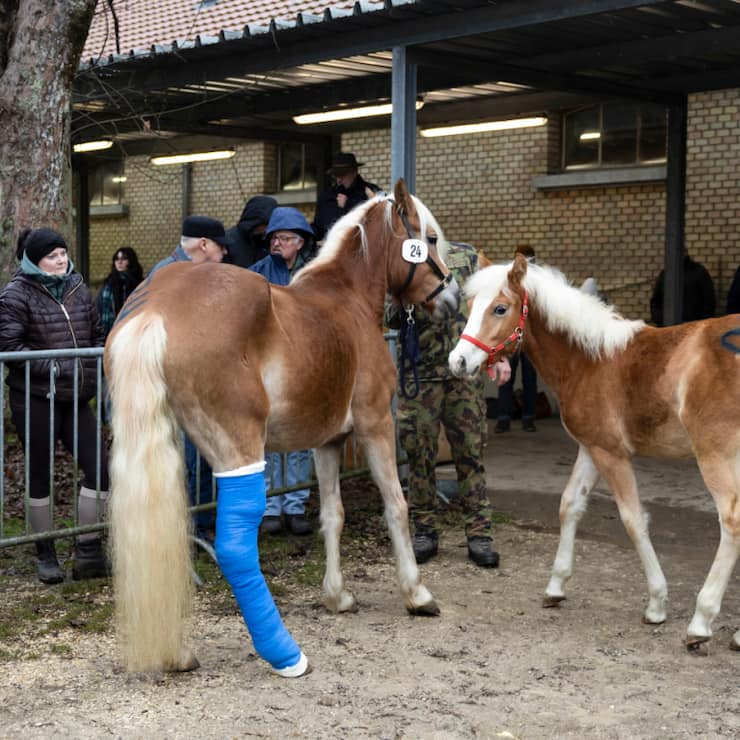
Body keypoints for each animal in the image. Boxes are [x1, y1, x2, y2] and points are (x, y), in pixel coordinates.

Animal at [105, 180, 458, 675]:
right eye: (428, 238)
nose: (451, 298)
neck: (346, 301)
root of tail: (158, 306)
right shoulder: (374, 424)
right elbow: (396, 505)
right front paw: (416, 592)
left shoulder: (327, 442)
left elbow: (333, 514)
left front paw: (337, 596)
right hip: (239, 447)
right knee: (235, 545)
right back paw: (284, 653)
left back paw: (176, 652)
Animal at [449, 253, 740, 653]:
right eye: (471, 304)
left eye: (500, 308)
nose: (458, 361)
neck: (590, 360)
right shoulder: (590, 448)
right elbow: (570, 505)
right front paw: (556, 587)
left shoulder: (611, 453)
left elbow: (633, 520)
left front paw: (656, 604)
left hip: (715, 455)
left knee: (731, 523)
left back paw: (700, 621)